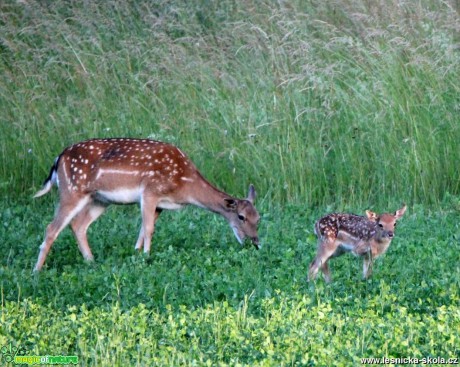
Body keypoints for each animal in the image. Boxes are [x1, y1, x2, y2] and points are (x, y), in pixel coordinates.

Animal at [33, 138, 260, 270]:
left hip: (100, 199)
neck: (184, 184)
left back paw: (91, 261)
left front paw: (137, 254)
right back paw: (37, 270)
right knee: (52, 228)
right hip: (72, 190)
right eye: (241, 217)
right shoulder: (150, 191)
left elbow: (143, 229)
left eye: (259, 218)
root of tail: (58, 160)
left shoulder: (159, 204)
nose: (255, 242)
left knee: (78, 225)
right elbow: (149, 228)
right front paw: (147, 257)